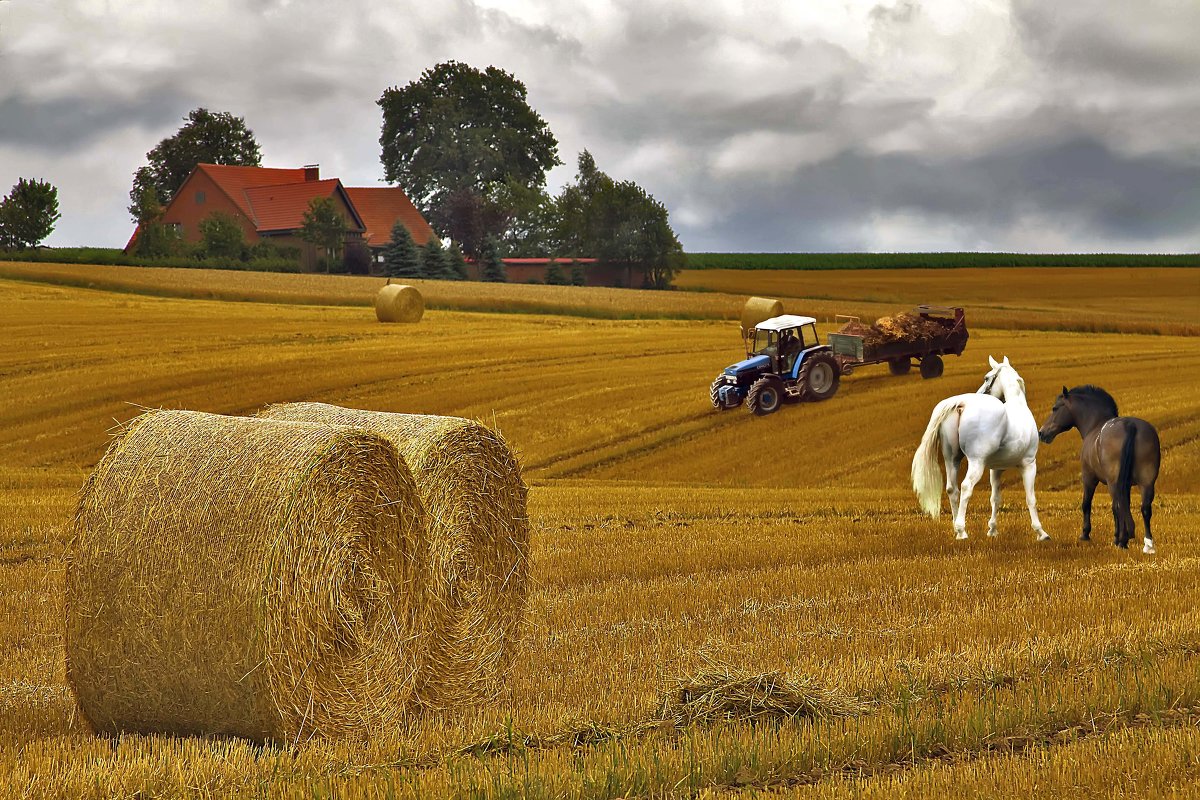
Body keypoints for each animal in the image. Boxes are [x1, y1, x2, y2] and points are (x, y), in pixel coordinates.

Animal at [907, 359, 1051, 542]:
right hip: (976, 462)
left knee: (952, 489)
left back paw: (957, 529)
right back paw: (961, 530)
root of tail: (962, 403)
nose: (980, 392)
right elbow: (1031, 498)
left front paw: (992, 530)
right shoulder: (1029, 465)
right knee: (966, 486)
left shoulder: (996, 469)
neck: (1018, 405)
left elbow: (995, 498)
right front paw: (1041, 532)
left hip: (952, 459)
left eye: (986, 378)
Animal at [1041, 386, 1161, 551]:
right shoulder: (1127, 485)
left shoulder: (1088, 478)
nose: (1041, 432)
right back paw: (1147, 543)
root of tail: (1130, 425)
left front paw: (1085, 534)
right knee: (1145, 508)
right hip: (1146, 482)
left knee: (1118, 506)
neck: (1094, 425)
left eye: (1055, 408)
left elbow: (1086, 504)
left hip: (1113, 482)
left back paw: (1122, 541)